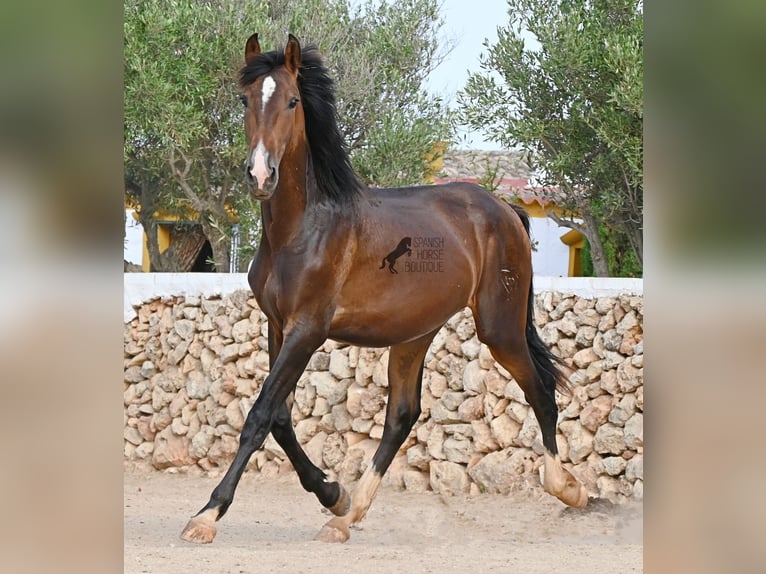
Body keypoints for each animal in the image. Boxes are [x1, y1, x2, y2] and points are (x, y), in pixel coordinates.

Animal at [180, 33, 588, 545]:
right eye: (245, 100)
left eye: (292, 101)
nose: (260, 175)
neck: (304, 228)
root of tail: (505, 209)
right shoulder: (278, 326)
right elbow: (281, 419)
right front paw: (333, 493)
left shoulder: (307, 330)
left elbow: (258, 418)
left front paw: (207, 515)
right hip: (415, 334)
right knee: (401, 416)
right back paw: (346, 516)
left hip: (500, 328)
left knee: (541, 392)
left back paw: (569, 489)